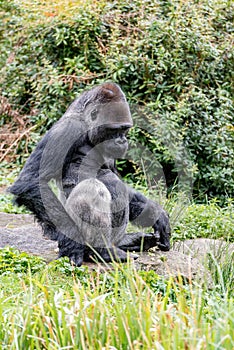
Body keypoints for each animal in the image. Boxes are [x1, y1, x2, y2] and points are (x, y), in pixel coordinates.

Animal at [8, 82, 170, 266]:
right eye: (114, 130)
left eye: (125, 129)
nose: (122, 141)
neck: (86, 124)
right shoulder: (67, 130)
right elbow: (32, 181)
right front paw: (72, 244)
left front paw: (156, 214)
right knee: (92, 189)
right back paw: (100, 251)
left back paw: (127, 242)